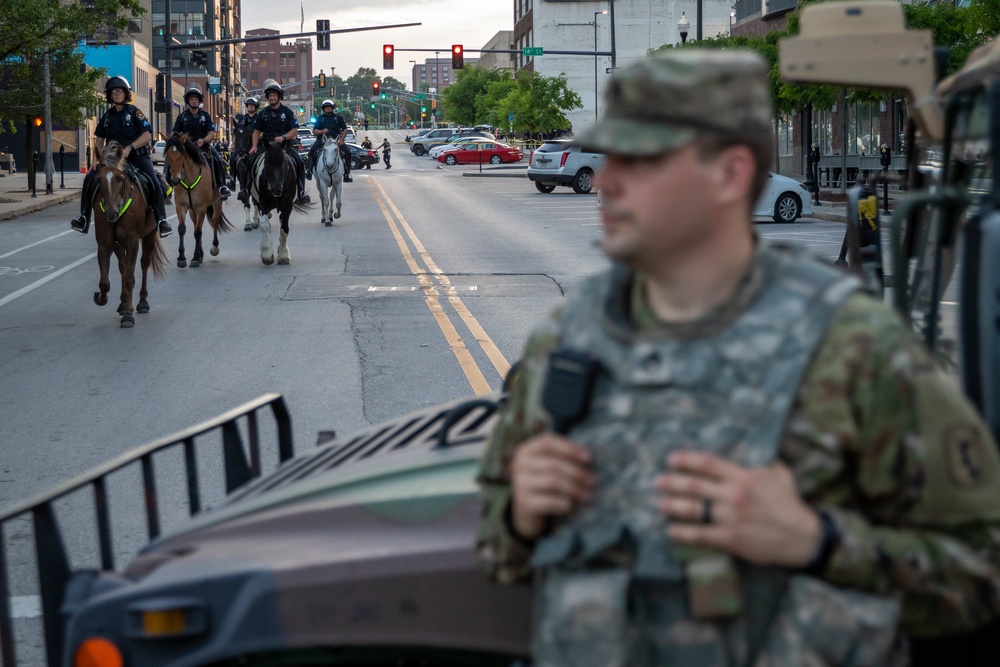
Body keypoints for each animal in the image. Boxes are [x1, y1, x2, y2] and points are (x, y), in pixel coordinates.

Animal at [91, 142, 168, 328]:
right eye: (98, 179)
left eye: (119, 178)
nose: (111, 213)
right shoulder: (105, 243)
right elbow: (105, 282)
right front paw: (103, 298)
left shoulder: (132, 242)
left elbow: (130, 278)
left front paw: (128, 314)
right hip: (118, 244)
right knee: (123, 267)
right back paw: (123, 302)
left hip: (149, 235)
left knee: (144, 264)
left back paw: (142, 302)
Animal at [164, 133, 234, 268]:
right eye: (167, 155)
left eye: (181, 154)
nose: (174, 180)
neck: (189, 177)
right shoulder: (181, 207)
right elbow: (182, 229)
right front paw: (182, 258)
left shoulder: (201, 207)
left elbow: (197, 232)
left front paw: (195, 258)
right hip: (193, 210)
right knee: (197, 225)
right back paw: (201, 253)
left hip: (217, 203)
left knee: (214, 221)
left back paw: (214, 248)